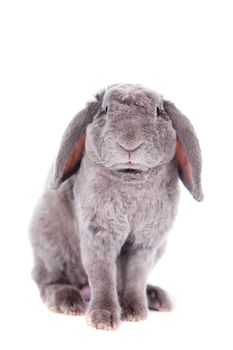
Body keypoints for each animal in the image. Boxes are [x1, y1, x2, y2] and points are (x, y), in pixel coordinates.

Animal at [30, 83, 203, 330]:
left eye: (158, 111)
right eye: (106, 109)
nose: (129, 142)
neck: (130, 176)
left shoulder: (145, 243)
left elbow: (135, 276)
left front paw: (135, 312)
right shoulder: (99, 234)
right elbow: (102, 274)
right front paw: (103, 319)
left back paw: (155, 298)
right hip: (51, 247)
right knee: (47, 280)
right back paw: (68, 302)